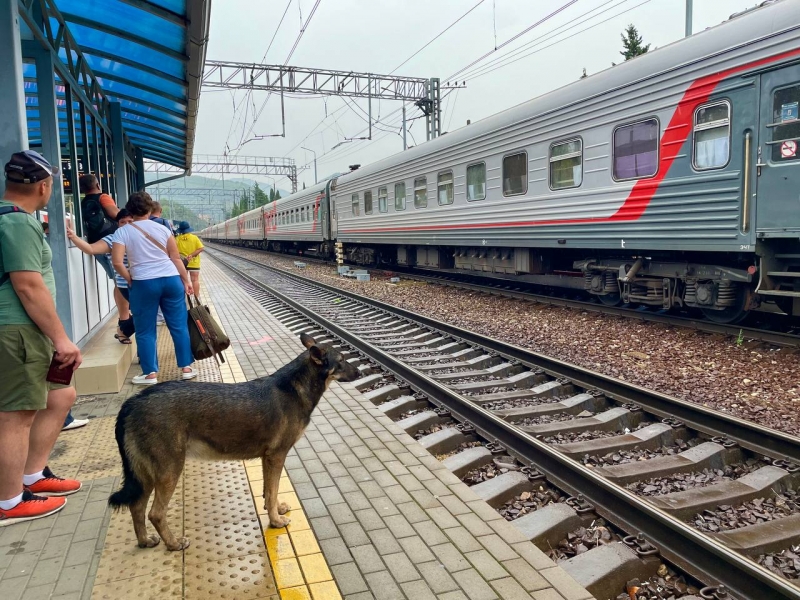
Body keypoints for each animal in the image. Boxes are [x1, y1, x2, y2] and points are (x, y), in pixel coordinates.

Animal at [108, 336, 358, 552]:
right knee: (155, 513)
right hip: (169, 471)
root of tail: (133, 402)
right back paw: (173, 543)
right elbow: (272, 491)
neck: (296, 387)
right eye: (341, 360)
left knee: (136, 506)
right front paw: (276, 521)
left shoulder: (268, 458)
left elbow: (270, 491)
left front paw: (275, 510)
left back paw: (145, 540)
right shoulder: (277, 456)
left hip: (147, 475)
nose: (360, 371)